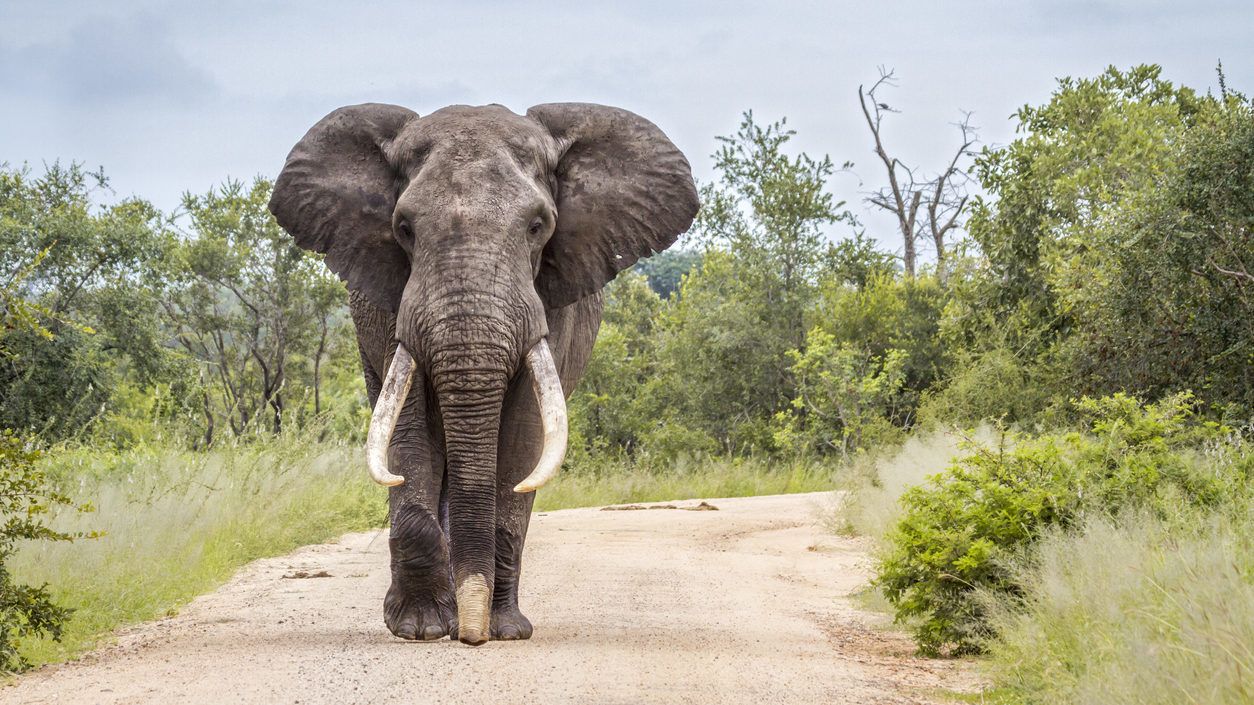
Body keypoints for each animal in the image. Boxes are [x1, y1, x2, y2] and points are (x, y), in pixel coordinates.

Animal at [269, 101, 702, 647]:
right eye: (404, 227)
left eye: (538, 226)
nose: (471, 637)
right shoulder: (394, 302)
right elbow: (407, 432)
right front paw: (421, 628)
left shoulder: (549, 303)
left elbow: (521, 439)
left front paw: (502, 630)